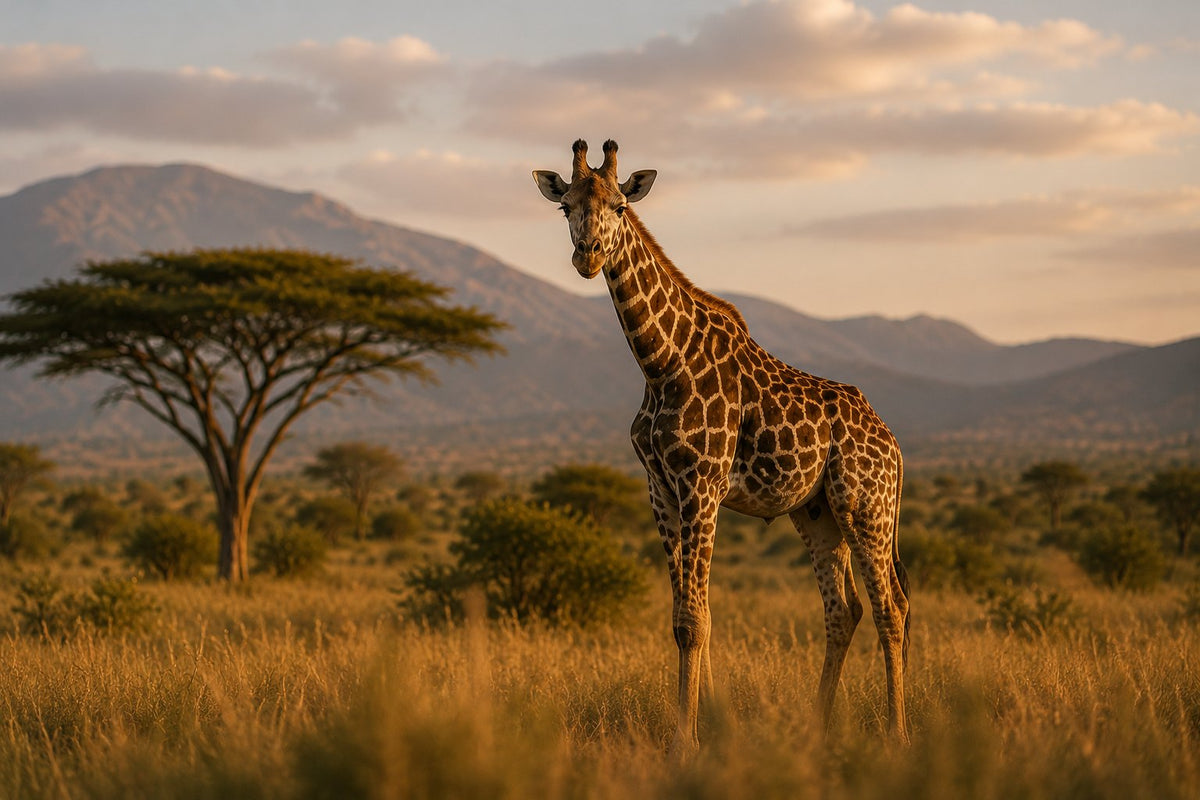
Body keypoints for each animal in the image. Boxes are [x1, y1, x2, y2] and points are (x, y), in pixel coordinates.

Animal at [533, 140, 910, 752]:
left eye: (619, 206)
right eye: (566, 206)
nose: (588, 256)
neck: (661, 363)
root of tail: (894, 447)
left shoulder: (702, 482)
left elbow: (694, 621)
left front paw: (683, 741)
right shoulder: (661, 489)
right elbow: (690, 615)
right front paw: (707, 724)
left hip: (865, 506)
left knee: (890, 609)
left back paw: (898, 735)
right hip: (818, 513)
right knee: (843, 610)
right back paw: (817, 727)